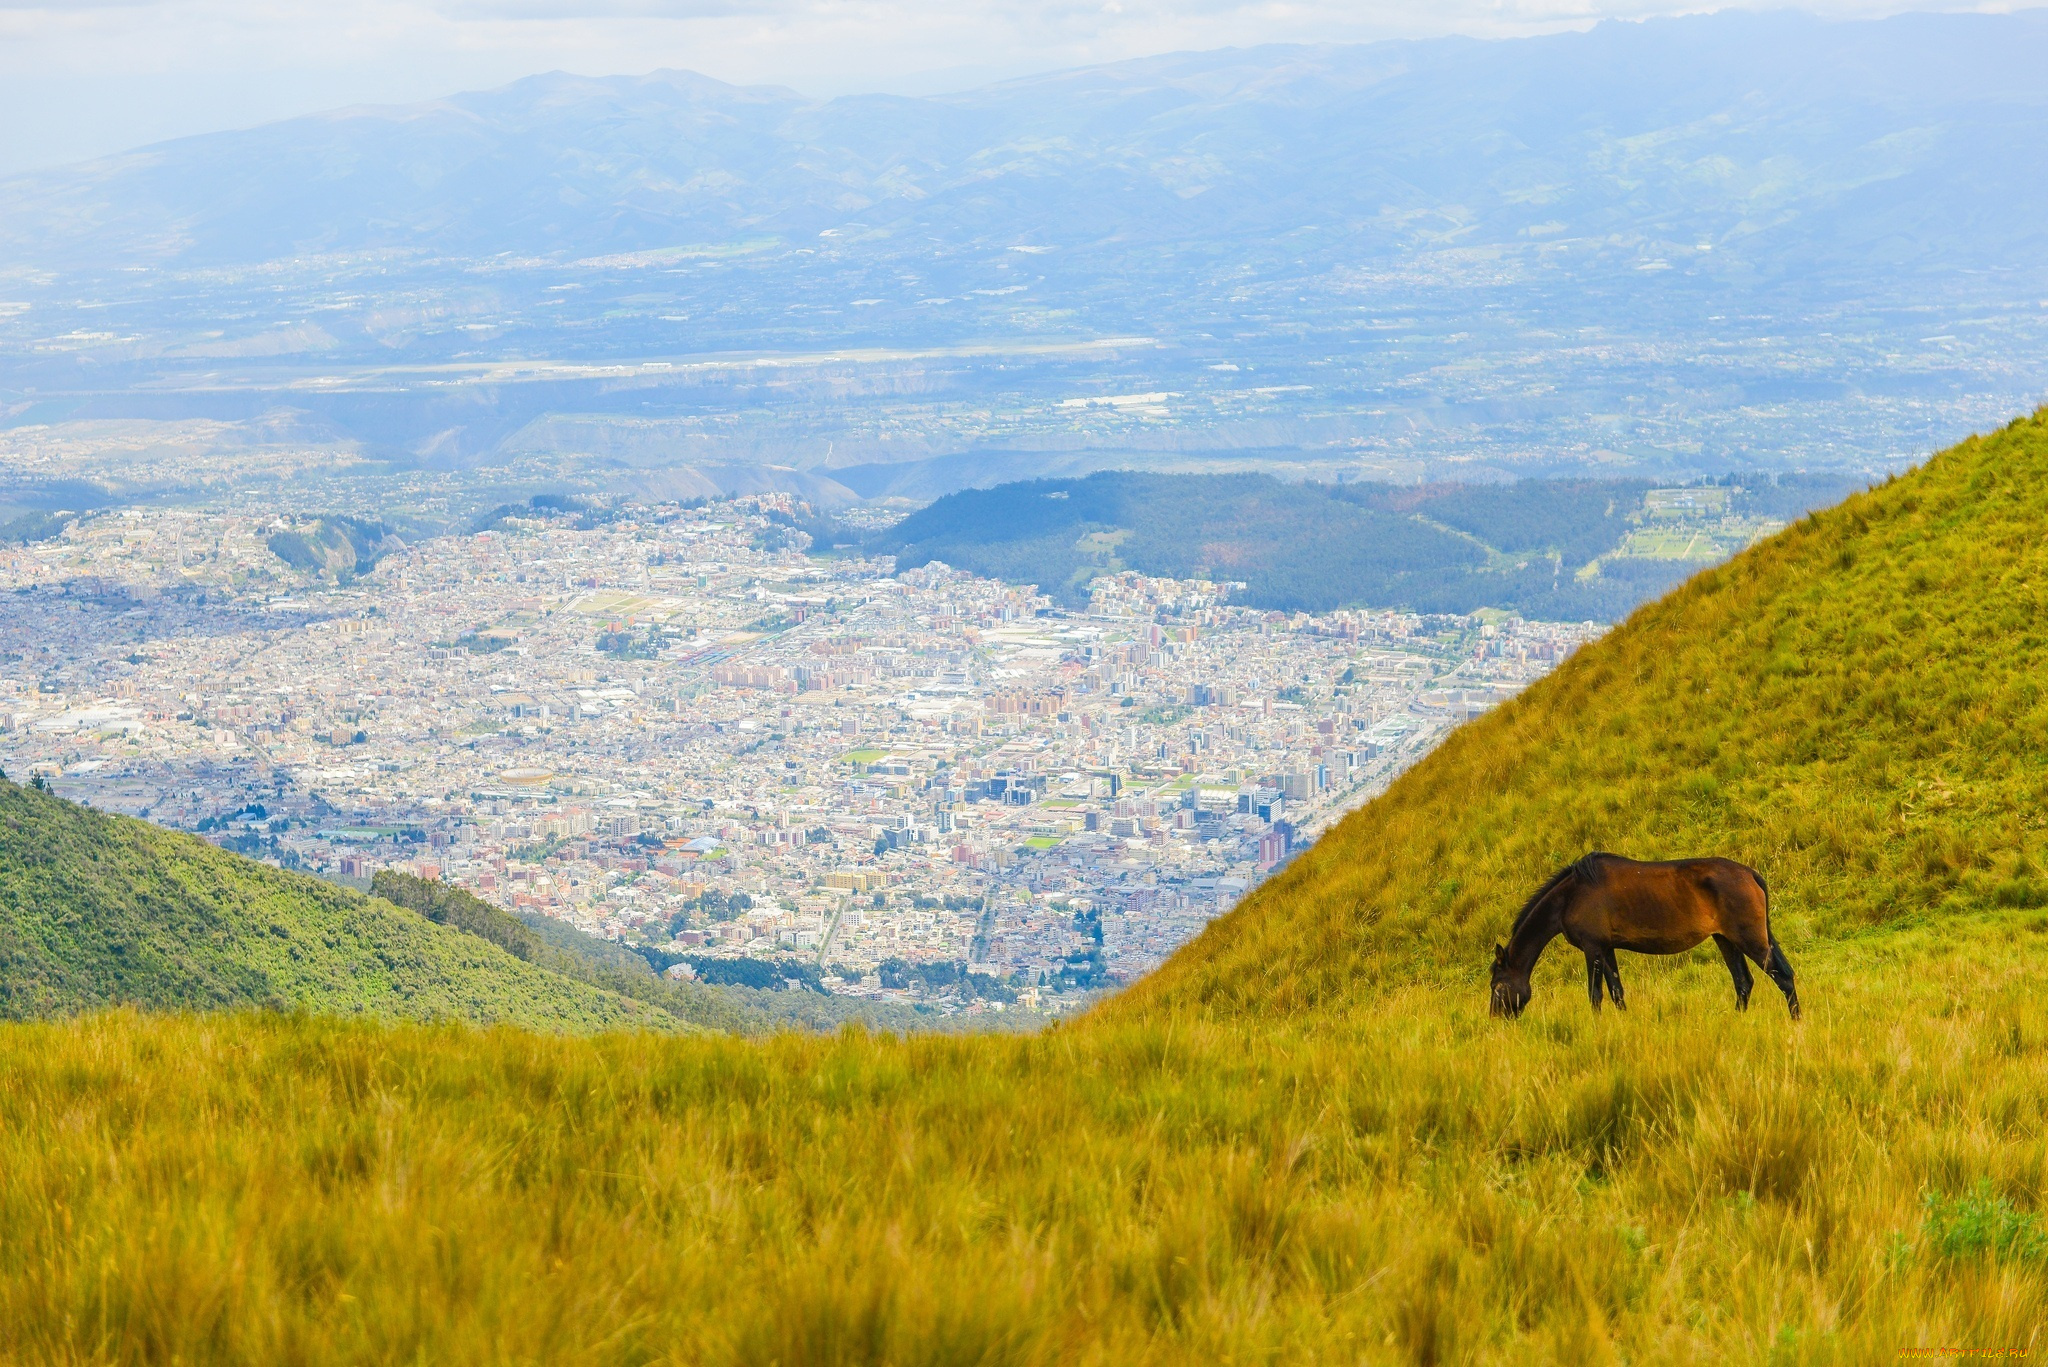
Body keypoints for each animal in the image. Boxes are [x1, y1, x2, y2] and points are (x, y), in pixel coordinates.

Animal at [1482, 848, 1802, 1020]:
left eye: (1497, 987)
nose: (1496, 1020)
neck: (1571, 895)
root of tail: (1750, 874)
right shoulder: (1606, 949)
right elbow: (1617, 991)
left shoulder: (1592, 948)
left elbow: (1595, 994)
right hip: (1726, 940)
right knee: (1743, 982)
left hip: (1750, 939)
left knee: (1782, 978)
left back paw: (1796, 1021)